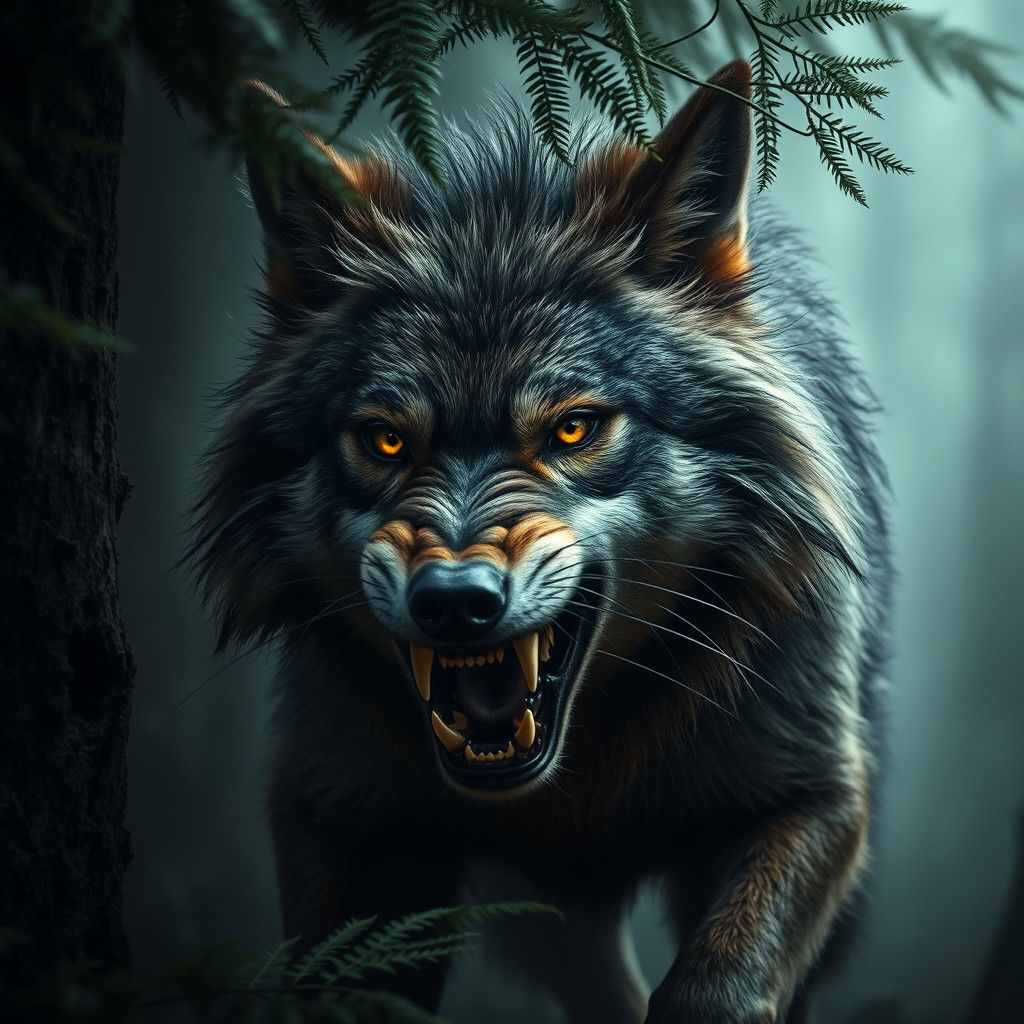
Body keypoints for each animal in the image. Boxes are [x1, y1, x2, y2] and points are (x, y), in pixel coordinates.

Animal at [190, 60, 891, 1023]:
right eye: (385, 441)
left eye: (572, 429)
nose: (453, 604)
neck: (573, 789)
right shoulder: (336, 811)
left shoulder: (811, 793)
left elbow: (718, 982)